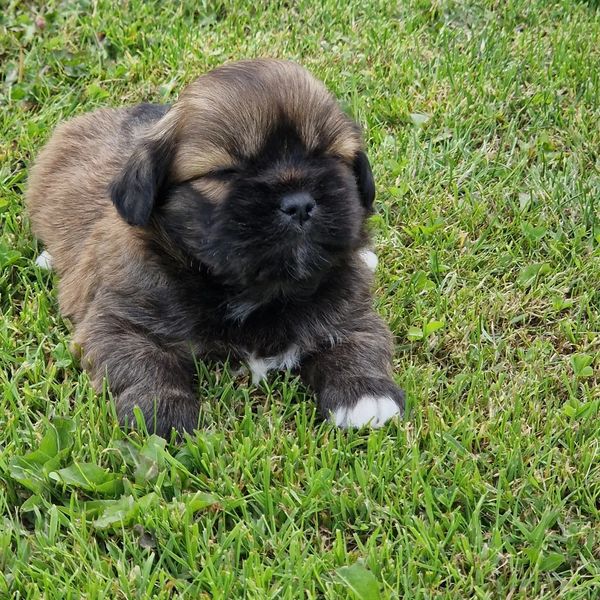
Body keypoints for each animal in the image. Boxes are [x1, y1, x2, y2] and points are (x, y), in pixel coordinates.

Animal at [27, 59, 404, 436]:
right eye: (225, 172)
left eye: (331, 157)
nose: (299, 204)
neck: (256, 290)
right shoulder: (119, 319)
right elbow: (141, 361)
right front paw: (162, 412)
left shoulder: (350, 306)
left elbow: (359, 340)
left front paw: (364, 393)